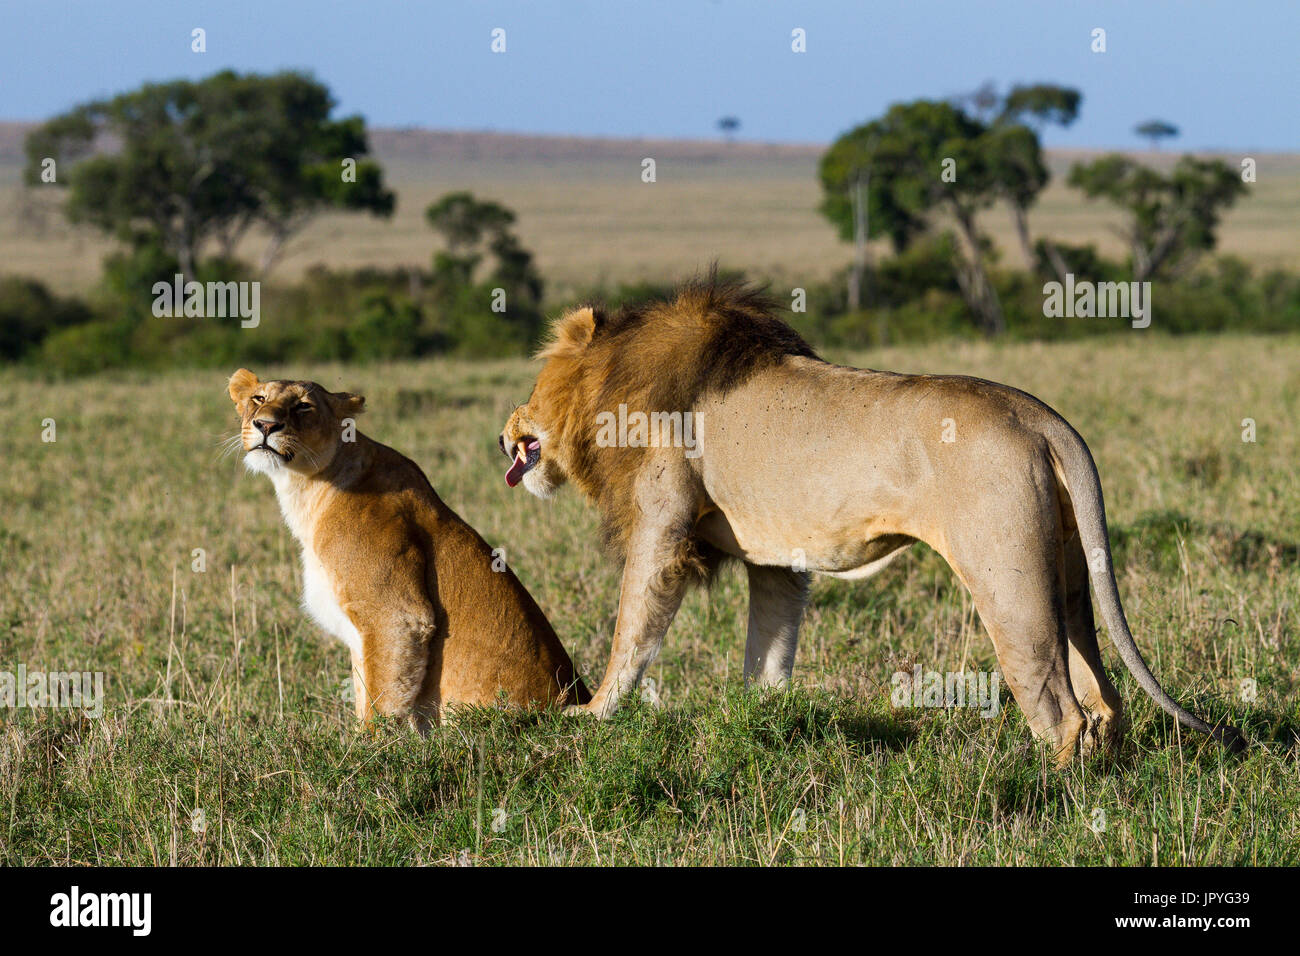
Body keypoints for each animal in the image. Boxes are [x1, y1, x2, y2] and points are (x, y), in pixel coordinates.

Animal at [229, 368, 588, 728]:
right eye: (259, 398)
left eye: (303, 406)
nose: (266, 425)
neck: (305, 487)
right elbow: (363, 692)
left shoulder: (397, 616)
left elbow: (382, 700)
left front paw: (371, 743)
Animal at [499, 275, 1245, 764]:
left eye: (530, 388)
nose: (504, 432)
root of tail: (1042, 418)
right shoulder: (779, 560)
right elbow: (769, 648)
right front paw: (761, 722)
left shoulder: (662, 526)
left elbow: (633, 625)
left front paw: (591, 715)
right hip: (1069, 570)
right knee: (1103, 697)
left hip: (1007, 575)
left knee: (1059, 709)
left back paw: (1049, 792)